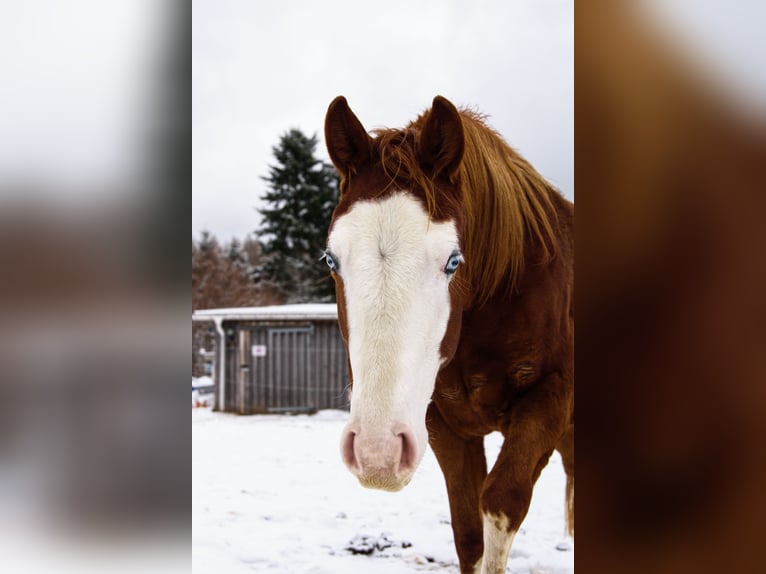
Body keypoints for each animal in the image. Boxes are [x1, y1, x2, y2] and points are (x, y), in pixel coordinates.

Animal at [323, 95, 574, 574]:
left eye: (453, 261)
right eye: (331, 260)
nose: (377, 452)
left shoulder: (549, 401)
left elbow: (501, 505)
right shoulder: (444, 426)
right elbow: (469, 532)